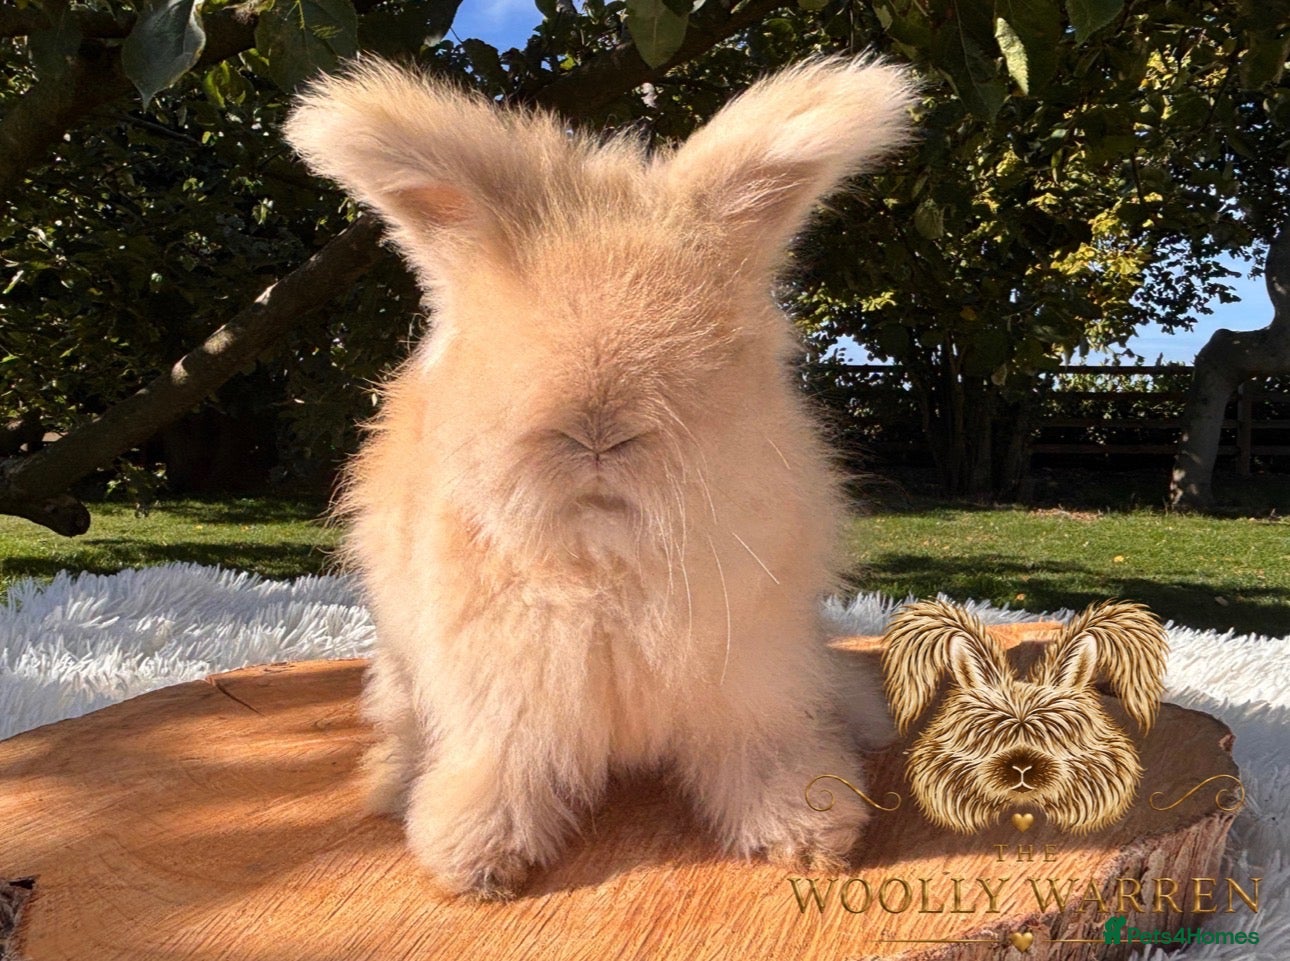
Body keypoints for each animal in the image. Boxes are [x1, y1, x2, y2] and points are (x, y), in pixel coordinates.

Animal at [283, 56, 918, 898]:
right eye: (502, 339)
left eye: (712, 342)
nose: (595, 431)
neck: (605, 561)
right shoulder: (502, 698)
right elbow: (502, 767)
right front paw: (477, 861)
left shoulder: (754, 674)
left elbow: (764, 748)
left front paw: (810, 833)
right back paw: (395, 782)